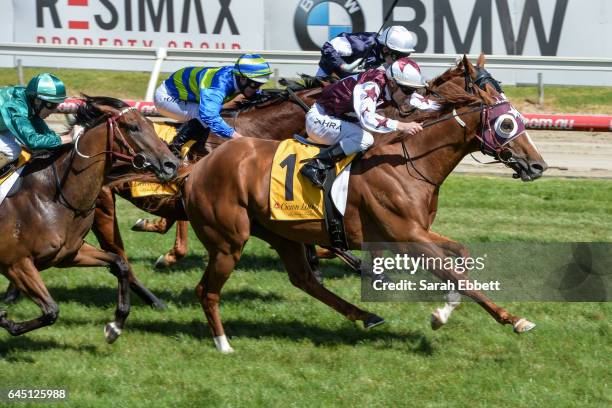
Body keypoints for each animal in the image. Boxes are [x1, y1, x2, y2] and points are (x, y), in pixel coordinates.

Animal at [0, 97, 179, 342]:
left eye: (152, 125)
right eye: (133, 127)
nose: (172, 164)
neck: (53, 196)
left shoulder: (69, 254)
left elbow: (120, 263)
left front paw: (115, 325)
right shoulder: (16, 263)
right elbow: (51, 311)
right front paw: (6, 320)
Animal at [184, 55, 548, 352]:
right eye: (506, 123)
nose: (538, 165)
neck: (407, 162)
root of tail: (196, 168)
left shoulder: (419, 231)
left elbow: (461, 259)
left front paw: (443, 312)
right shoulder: (407, 238)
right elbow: (454, 274)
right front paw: (513, 319)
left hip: (280, 233)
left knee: (302, 279)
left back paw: (365, 314)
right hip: (229, 242)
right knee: (207, 290)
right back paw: (223, 343)